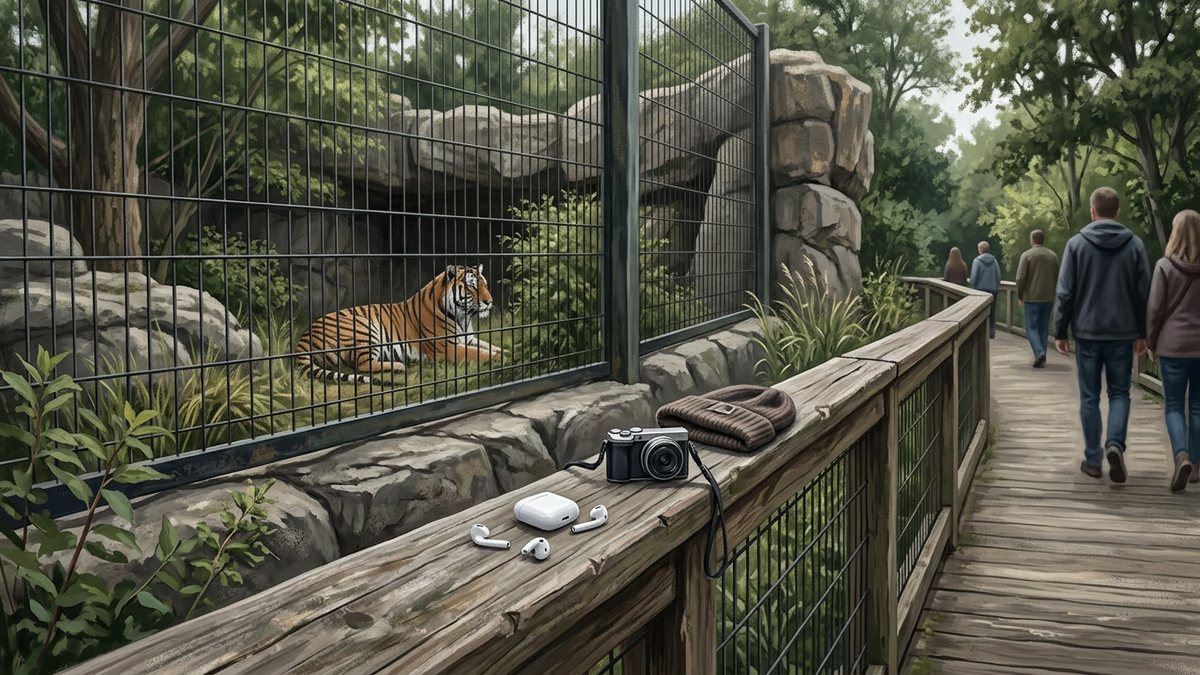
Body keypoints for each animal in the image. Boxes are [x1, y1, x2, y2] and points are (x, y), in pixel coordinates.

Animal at [295, 264, 502, 385]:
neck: (462, 317)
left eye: (484, 284)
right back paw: (400, 366)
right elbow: (480, 354)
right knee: (361, 364)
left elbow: (491, 347)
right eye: (471, 287)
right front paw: (503, 359)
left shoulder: (468, 339)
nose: (490, 301)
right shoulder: (447, 347)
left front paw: (505, 353)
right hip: (365, 327)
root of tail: (304, 336)